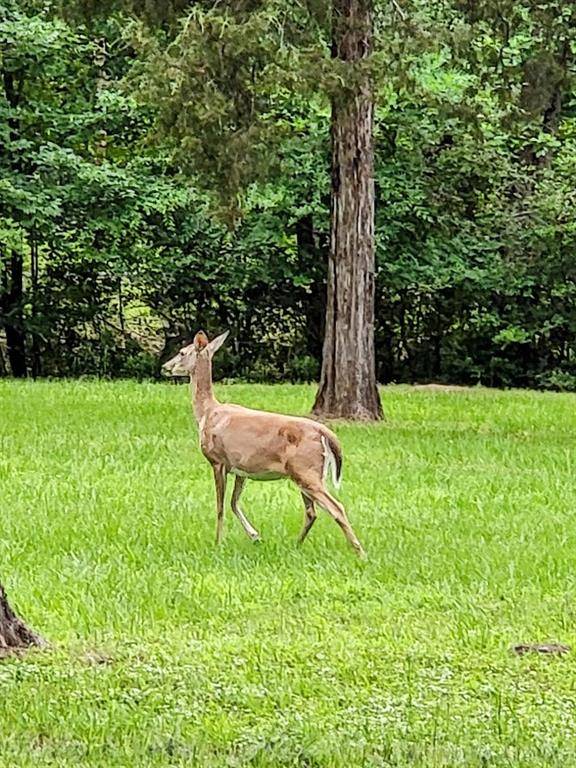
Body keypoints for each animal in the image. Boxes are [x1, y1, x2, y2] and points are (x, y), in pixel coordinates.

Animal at [162, 330, 366, 560]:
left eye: (182, 352)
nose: (165, 366)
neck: (207, 413)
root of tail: (325, 433)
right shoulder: (240, 469)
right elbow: (233, 502)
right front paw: (255, 536)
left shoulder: (218, 461)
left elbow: (220, 506)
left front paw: (217, 542)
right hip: (305, 473)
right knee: (311, 512)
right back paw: (296, 545)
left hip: (306, 471)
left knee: (336, 507)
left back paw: (359, 552)